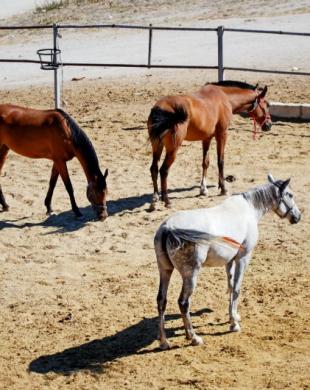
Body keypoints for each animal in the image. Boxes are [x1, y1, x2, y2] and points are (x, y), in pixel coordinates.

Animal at [148, 80, 272, 212]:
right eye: (266, 105)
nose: (269, 125)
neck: (225, 97)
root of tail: (160, 108)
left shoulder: (206, 138)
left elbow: (205, 162)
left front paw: (203, 189)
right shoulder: (222, 135)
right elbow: (220, 161)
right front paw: (223, 188)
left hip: (157, 145)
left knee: (154, 169)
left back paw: (155, 200)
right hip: (173, 149)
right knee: (163, 171)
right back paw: (167, 200)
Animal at [154, 174, 300, 350]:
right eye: (290, 195)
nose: (297, 217)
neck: (249, 209)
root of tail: (168, 228)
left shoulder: (229, 261)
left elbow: (230, 287)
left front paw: (233, 316)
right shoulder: (243, 257)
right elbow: (236, 288)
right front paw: (234, 325)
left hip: (165, 270)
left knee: (161, 300)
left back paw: (163, 341)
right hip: (190, 274)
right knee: (183, 302)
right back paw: (194, 337)